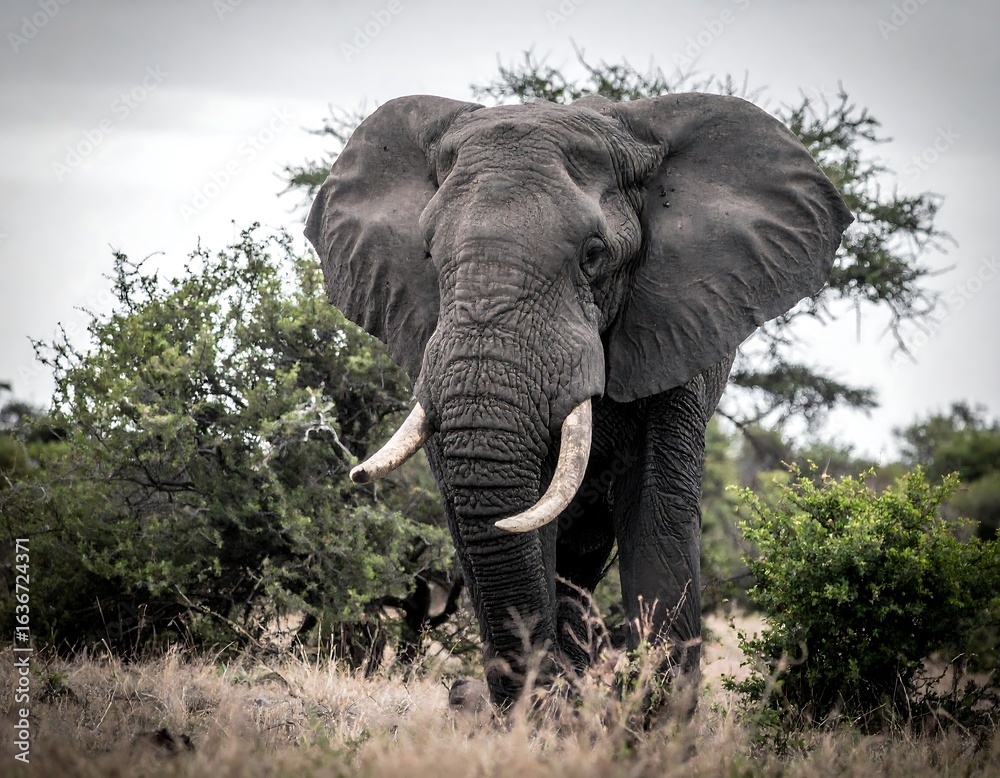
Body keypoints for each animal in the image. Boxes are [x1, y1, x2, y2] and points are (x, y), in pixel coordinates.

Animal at [305, 92, 852, 708]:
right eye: (426, 252)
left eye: (594, 254)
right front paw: (546, 715)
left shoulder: (679, 327)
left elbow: (656, 505)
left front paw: (652, 722)